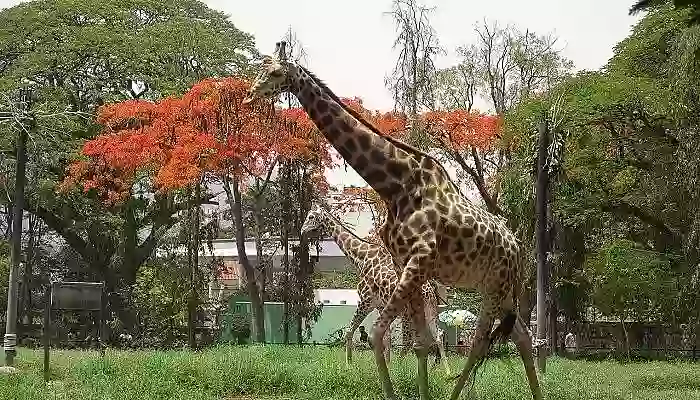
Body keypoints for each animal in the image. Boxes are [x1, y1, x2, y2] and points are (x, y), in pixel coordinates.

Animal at [300, 205, 448, 374]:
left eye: (311, 217)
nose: (302, 231)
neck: (361, 258)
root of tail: (430, 289)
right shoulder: (380, 306)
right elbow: (386, 338)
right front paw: (387, 365)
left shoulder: (366, 300)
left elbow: (350, 331)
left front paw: (349, 364)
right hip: (430, 308)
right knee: (436, 335)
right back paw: (442, 370)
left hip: (409, 311)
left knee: (413, 339)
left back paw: (410, 368)